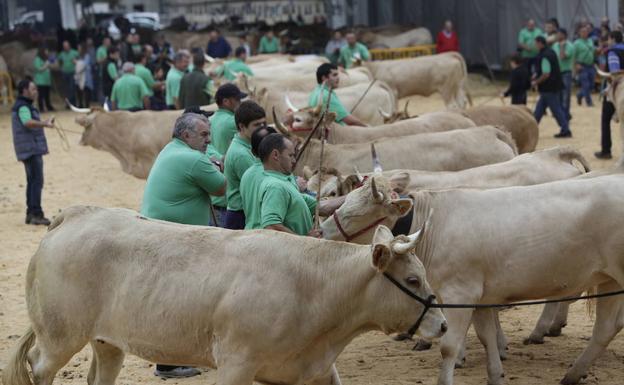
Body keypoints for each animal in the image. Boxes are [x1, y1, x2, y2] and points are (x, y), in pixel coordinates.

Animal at [2, 202, 446, 382]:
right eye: (412, 281)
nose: (442, 325)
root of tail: (76, 214)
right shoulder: (236, 362)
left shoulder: (313, 368)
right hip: (59, 336)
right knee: (39, 367)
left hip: (107, 342)